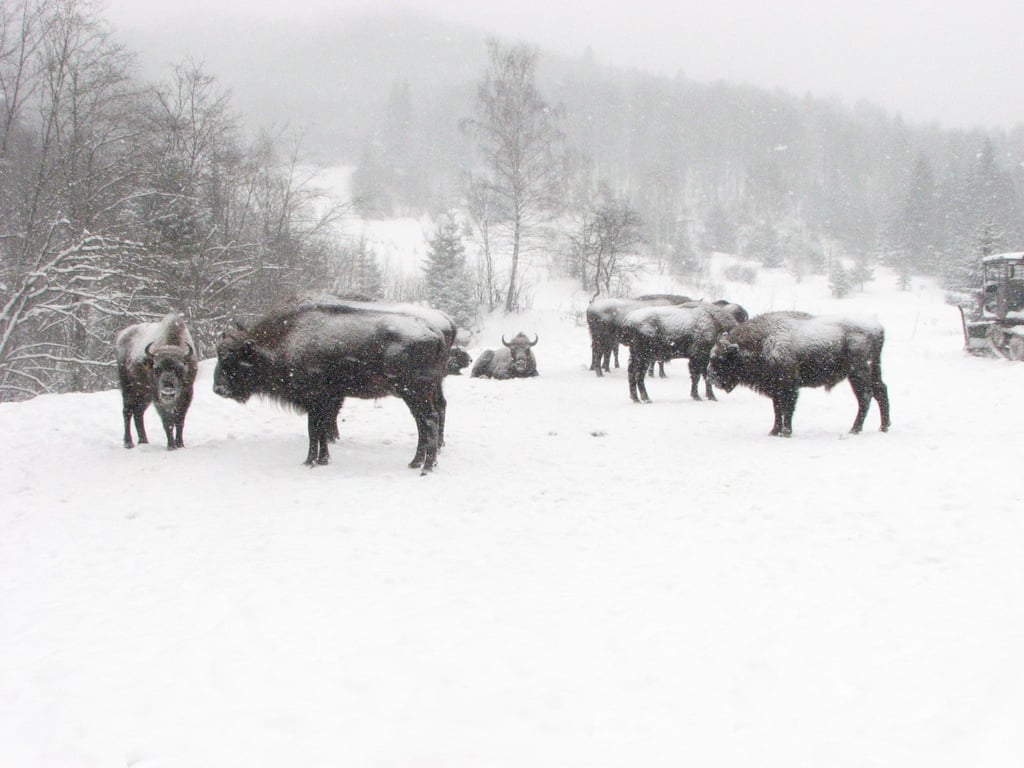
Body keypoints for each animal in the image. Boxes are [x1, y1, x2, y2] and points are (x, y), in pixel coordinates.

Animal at [116, 313, 197, 450]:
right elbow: (167, 421)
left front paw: (180, 444)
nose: (168, 392)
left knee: (138, 413)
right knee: (127, 412)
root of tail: (122, 335)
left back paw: (143, 441)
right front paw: (171, 446)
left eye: (180, 369)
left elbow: (179, 420)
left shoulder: (187, 394)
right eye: (157, 368)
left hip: (144, 395)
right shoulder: (158, 398)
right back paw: (128, 443)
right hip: (128, 389)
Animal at [214, 294, 454, 473]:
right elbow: (321, 428)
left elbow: (314, 429)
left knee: (429, 419)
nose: (218, 388)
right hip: (421, 392)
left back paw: (427, 466)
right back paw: (416, 462)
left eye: (231, 359)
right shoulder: (326, 401)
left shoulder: (315, 400)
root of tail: (436, 332)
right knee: (425, 419)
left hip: (414, 392)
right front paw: (323, 459)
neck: (288, 338)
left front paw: (310, 461)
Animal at [618, 303, 749, 405]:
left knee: (632, 373)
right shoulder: (699, 358)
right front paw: (702, 397)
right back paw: (646, 399)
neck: (713, 322)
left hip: (635, 355)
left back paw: (635, 398)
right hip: (643, 356)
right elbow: (699, 377)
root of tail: (628, 320)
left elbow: (701, 377)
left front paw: (706, 396)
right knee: (639, 375)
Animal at [708, 309, 892, 436]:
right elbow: (777, 409)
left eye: (720, 358)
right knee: (880, 391)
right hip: (873, 370)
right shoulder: (776, 387)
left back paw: (854, 429)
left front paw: (785, 432)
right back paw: (883, 427)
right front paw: (774, 431)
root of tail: (878, 327)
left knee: (866, 396)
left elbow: (787, 408)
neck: (764, 340)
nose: (711, 378)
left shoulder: (788, 385)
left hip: (858, 373)